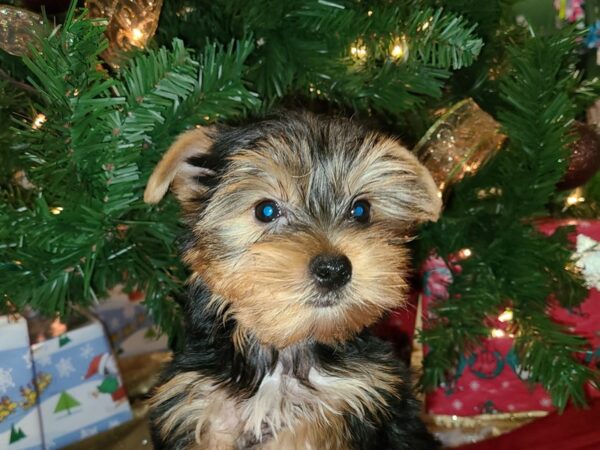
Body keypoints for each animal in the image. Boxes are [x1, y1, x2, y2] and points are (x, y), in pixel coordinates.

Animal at [144, 112, 442, 450]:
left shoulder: (358, 396)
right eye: (266, 210)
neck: (284, 350)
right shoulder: (199, 404)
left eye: (361, 210)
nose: (334, 269)